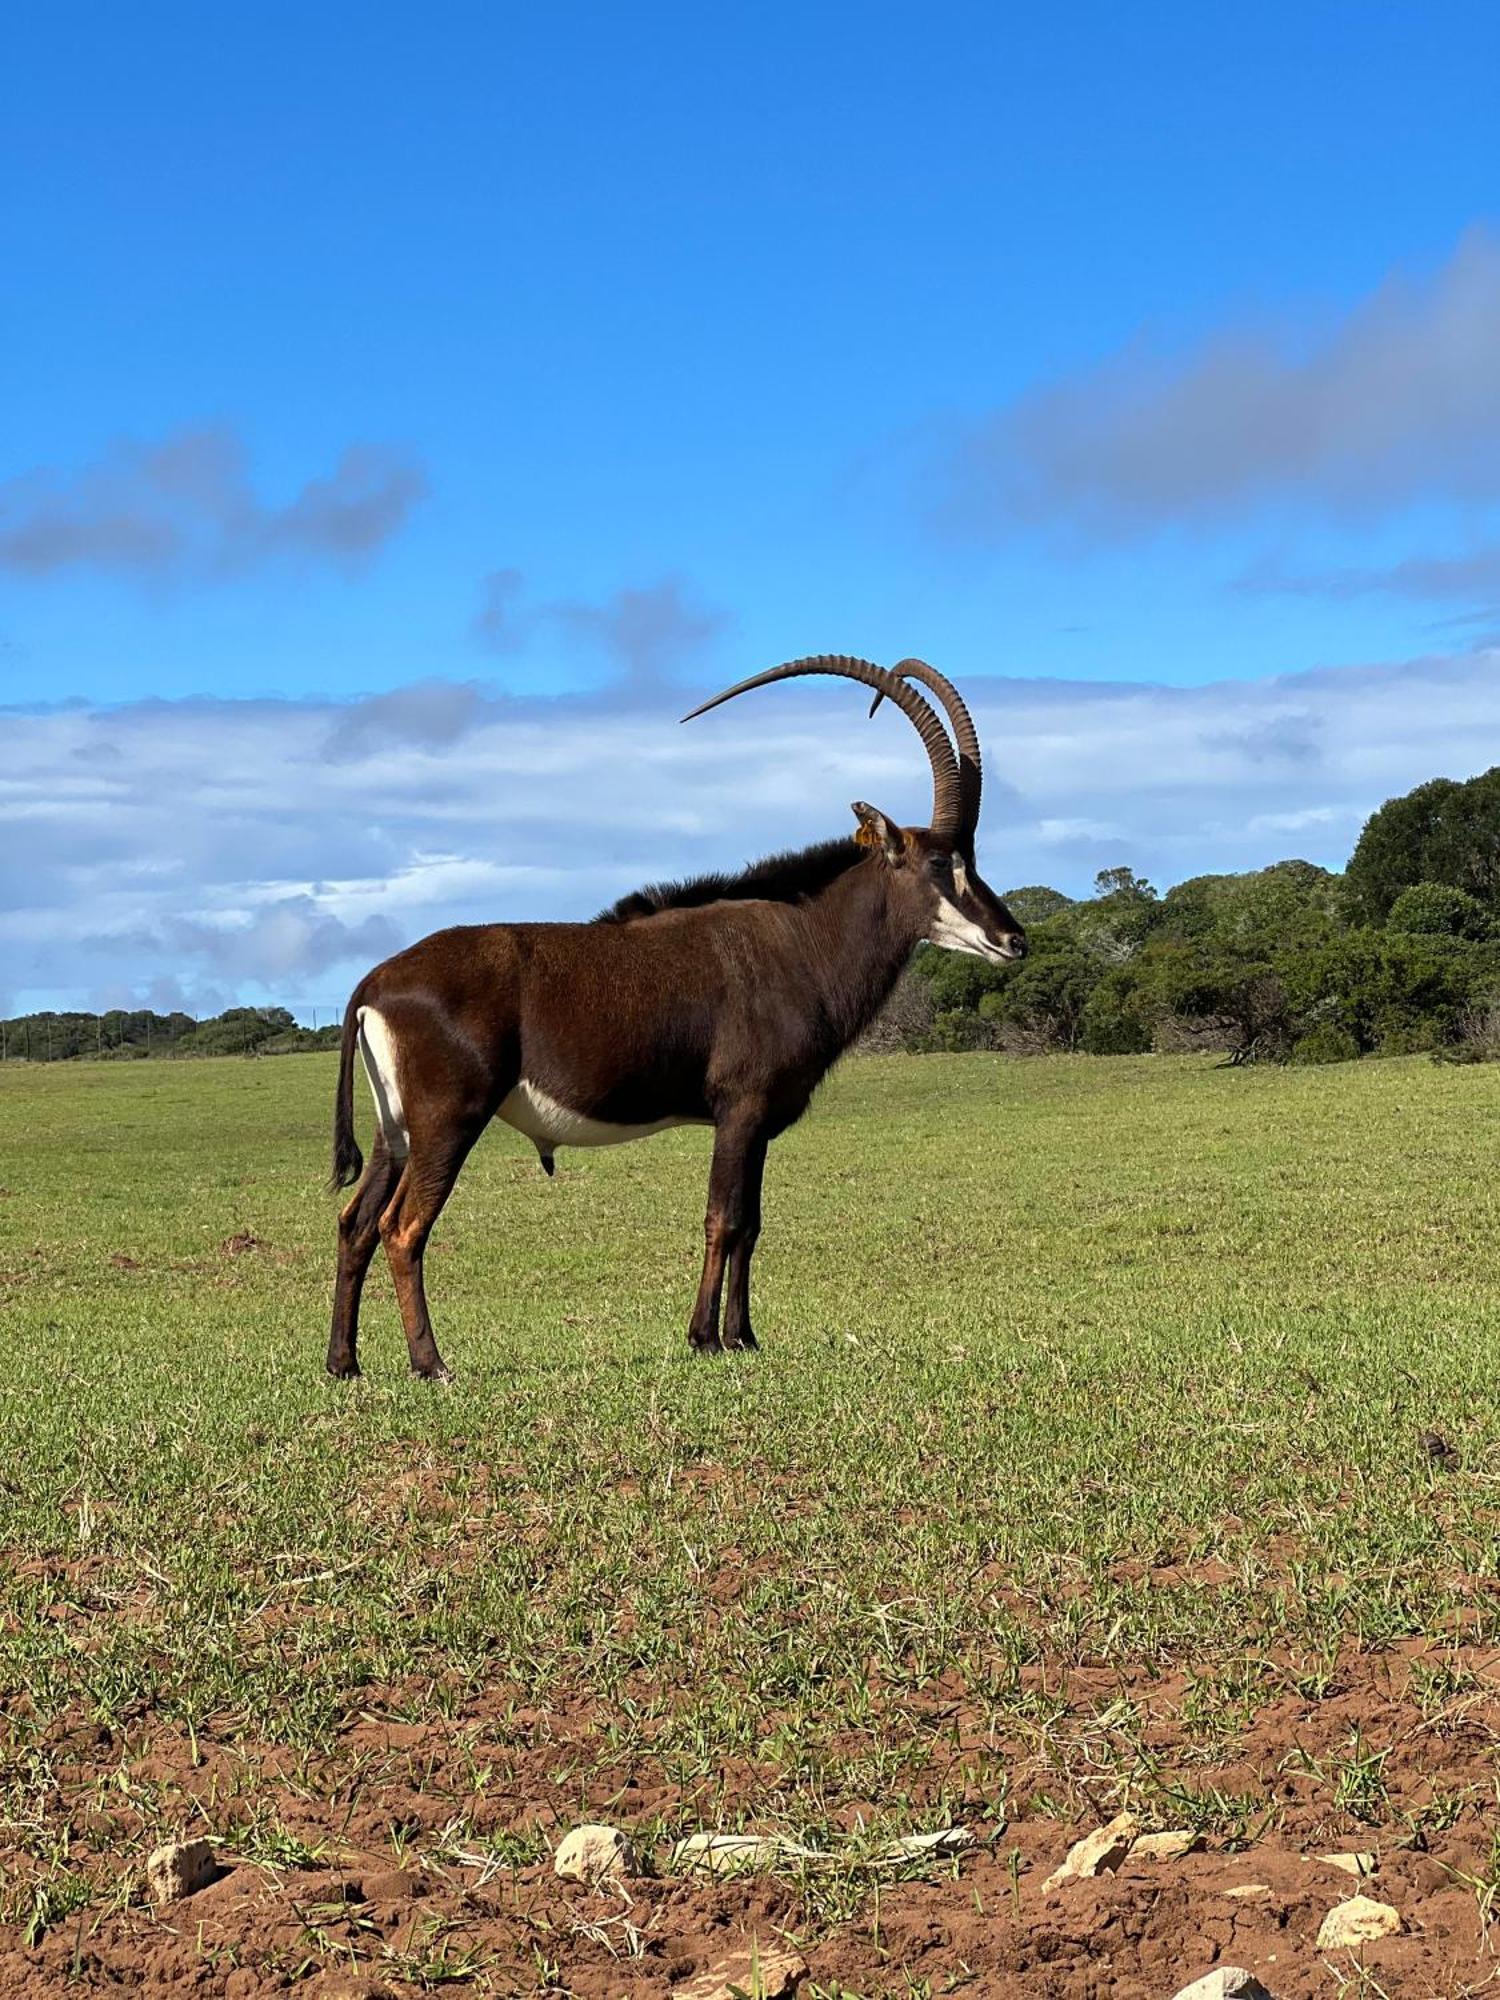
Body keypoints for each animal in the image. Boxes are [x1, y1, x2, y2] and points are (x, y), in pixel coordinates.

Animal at [326, 656, 1032, 1376]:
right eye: (940, 863)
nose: (1014, 941)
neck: (800, 939)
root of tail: (376, 982)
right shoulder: (739, 1110)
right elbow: (724, 1218)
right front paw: (705, 1337)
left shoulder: (758, 1125)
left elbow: (752, 1223)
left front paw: (744, 1336)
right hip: (448, 1122)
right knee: (401, 1227)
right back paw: (431, 1364)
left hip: (395, 1133)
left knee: (356, 1222)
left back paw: (343, 1363)